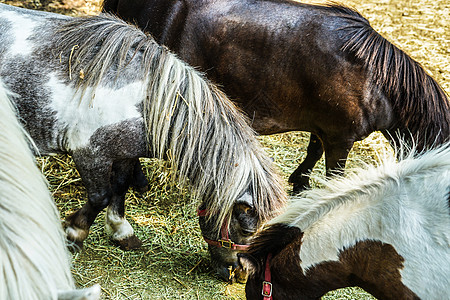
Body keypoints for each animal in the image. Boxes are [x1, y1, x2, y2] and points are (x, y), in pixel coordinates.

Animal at [103, 0, 450, 192]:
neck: (373, 81)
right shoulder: (341, 139)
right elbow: (334, 172)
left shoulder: (324, 127)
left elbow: (312, 151)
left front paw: (300, 183)